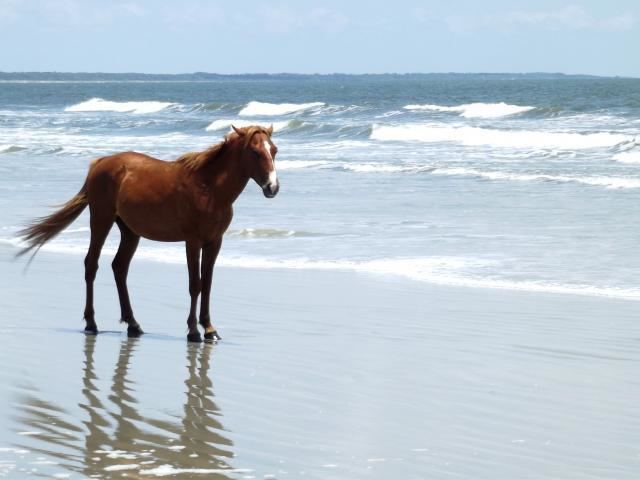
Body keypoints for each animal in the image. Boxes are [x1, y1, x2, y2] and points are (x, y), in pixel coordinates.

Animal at [18, 125, 278, 344]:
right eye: (255, 152)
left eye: (274, 150)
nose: (272, 188)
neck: (209, 189)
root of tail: (100, 163)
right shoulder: (193, 242)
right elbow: (195, 285)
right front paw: (193, 331)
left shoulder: (214, 242)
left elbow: (208, 284)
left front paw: (210, 329)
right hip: (101, 220)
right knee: (91, 264)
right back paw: (91, 323)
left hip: (130, 232)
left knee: (119, 267)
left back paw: (133, 324)